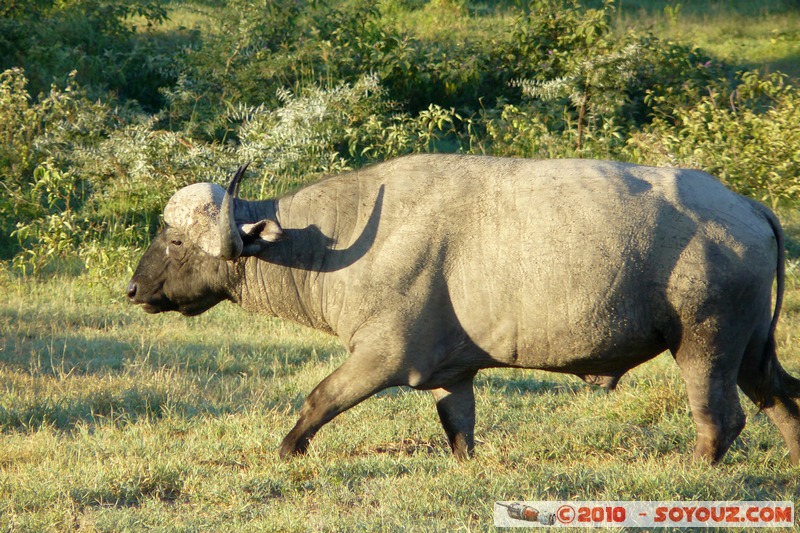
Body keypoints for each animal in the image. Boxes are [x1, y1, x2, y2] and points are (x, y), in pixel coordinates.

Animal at [125, 154, 800, 462]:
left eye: (177, 242)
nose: (132, 291)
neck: (344, 237)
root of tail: (746, 206)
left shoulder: (380, 358)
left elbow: (319, 399)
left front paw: (288, 451)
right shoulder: (455, 375)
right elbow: (459, 429)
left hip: (705, 347)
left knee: (721, 420)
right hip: (751, 352)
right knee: (783, 401)